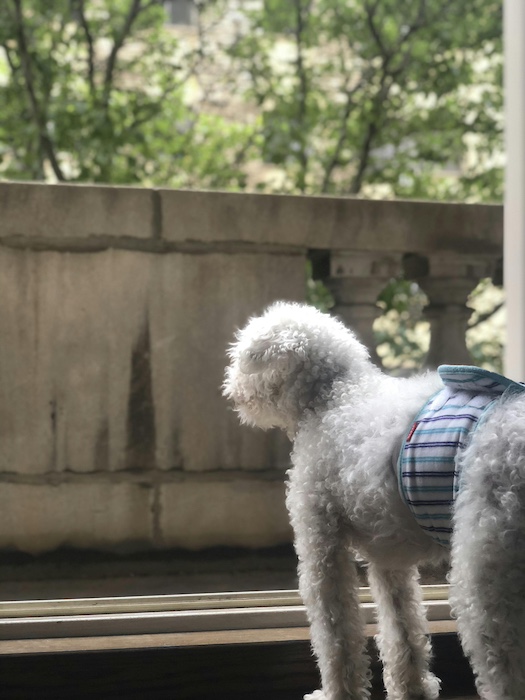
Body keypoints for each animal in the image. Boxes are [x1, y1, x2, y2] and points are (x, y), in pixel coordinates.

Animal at [223, 302, 524, 700]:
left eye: (241, 358)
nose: (230, 387)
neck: (333, 395)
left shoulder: (322, 543)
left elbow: (336, 630)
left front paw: (337, 692)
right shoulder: (389, 553)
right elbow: (403, 623)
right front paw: (412, 686)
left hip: (488, 570)